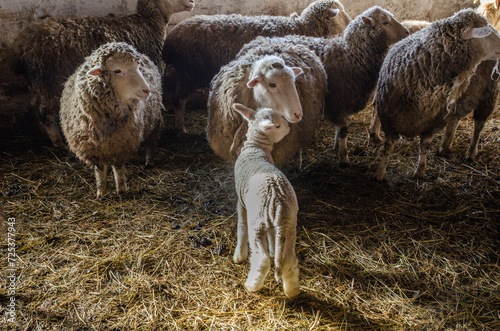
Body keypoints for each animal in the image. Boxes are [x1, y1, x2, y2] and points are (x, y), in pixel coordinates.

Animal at [59, 41, 163, 197]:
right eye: (118, 71)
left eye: (137, 67)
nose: (147, 91)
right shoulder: (93, 148)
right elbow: (100, 170)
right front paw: (101, 192)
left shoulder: (121, 145)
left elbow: (118, 169)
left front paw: (121, 190)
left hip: (154, 121)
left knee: (151, 142)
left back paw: (149, 161)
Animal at [162, 0, 350, 132]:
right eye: (340, 14)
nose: (350, 23)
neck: (303, 27)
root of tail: (172, 37)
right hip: (189, 72)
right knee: (179, 99)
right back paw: (180, 126)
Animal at [232, 103, 298, 298]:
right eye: (278, 125)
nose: (289, 127)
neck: (255, 149)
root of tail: (278, 200)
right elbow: (272, 237)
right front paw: (272, 248)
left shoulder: (241, 201)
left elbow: (241, 226)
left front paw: (239, 254)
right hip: (289, 224)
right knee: (288, 260)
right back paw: (292, 291)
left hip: (258, 223)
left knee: (262, 261)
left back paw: (251, 286)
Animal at [374, 9, 500, 182]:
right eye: (486, 32)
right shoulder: (389, 118)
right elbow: (388, 147)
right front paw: (379, 174)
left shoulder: (433, 122)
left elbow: (424, 145)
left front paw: (420, 172)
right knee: (454, 120)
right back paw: (445, 146)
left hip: (488, 96)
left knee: (478, 125)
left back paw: (470, 152)